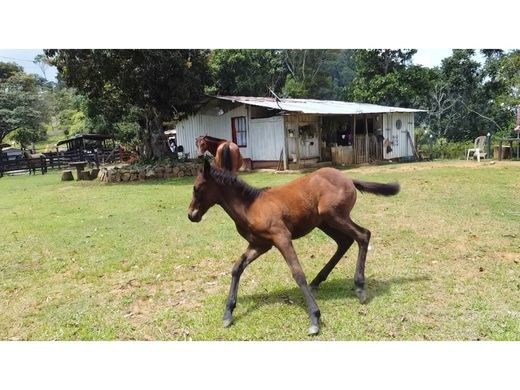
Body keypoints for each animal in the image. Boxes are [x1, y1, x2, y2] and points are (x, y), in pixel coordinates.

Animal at [189, 160, 400, 336]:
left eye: (196, 188)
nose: (191, 215)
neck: (250, 207)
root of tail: (348, 178)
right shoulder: (260, 244)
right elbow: (237, 267)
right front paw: (228, 313)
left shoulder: (282, 237)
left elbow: (298, 273)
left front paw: (314, 318)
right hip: (325, 222)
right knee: (344, 242)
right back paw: (318, 280)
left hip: (334, 215)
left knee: (363, 235)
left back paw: (359, 287)